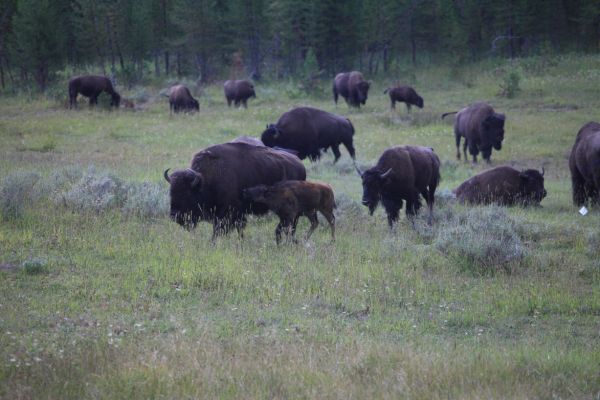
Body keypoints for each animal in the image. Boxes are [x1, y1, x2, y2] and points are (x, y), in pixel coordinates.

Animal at [163, 142, 304, 239]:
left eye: (187, 193)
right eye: (171, 192)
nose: (174, 215)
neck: (205, 180)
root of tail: (299, 164)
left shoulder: (228, 213)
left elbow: (221, 229)